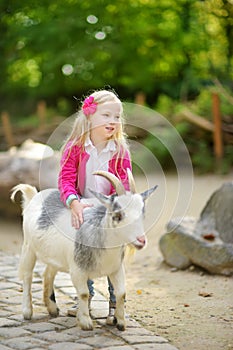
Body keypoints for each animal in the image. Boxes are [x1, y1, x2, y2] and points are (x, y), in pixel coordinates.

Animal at [10, 171, 157, 332]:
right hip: (28, 247)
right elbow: (84, 293)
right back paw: (27, 311)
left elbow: (121, 293)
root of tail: (35, 195)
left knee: (48, 274)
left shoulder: (116, 269)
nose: (141, 240)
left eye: (142, 215)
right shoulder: (77, 270)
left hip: (55, 256)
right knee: (27, 276)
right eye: (117, 216)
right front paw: (85, 322)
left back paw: (52, 308)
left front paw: (120, 322)